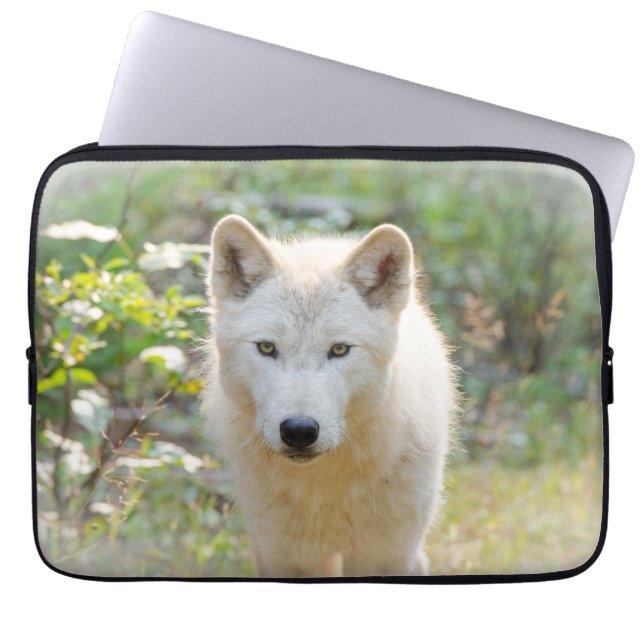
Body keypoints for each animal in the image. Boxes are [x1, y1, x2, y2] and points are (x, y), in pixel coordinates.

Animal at [201, 215, 457, 577]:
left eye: (339, 349)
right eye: (266, 347)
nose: (299, 431)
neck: (325, 486)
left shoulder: (388, 554)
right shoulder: (285, 555)